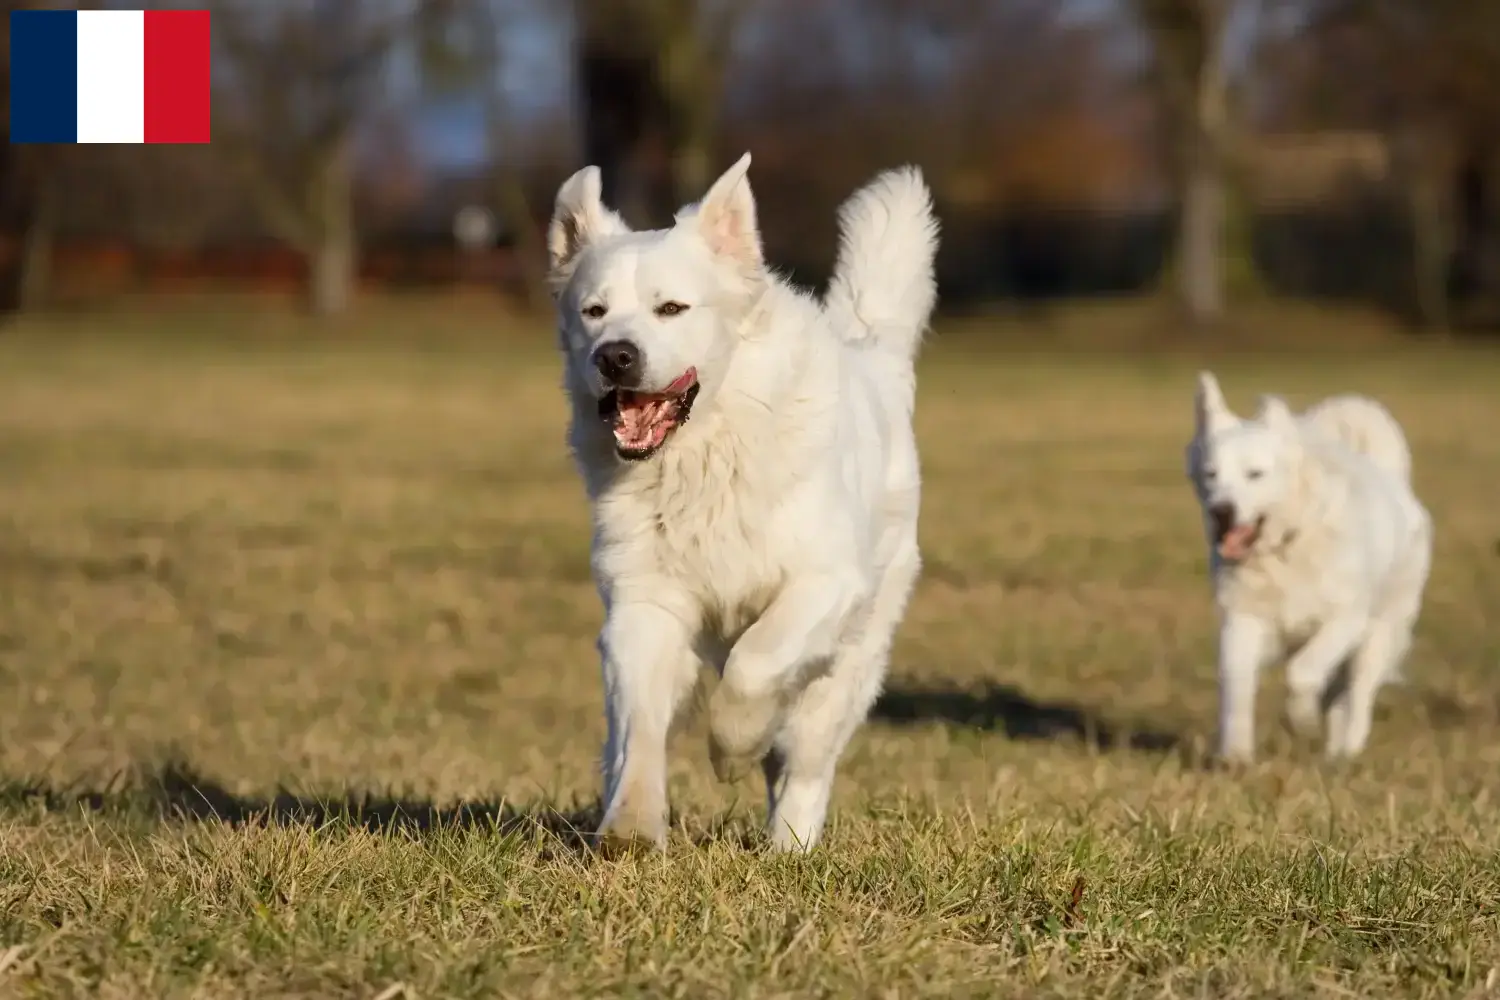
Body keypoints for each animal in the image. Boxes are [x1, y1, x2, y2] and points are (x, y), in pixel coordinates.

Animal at [540, 150, 936, 851]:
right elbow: (640, 728)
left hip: (850, 664)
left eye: (672, 308)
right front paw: (631, 827)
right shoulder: (645, 603)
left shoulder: (824, 582)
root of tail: (874, 358)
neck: (704, 456)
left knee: (804, 764)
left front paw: (732, 749)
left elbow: (755, 666)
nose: (615, 357)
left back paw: (789, 849)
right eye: (594, 311)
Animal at [1182, 371, 1428, 761]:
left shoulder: (1346, 620)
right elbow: (1235, 686)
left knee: (1358, 696)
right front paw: (1236, 754)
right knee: (1340, 698)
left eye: (1255, 474)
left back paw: (1346, 752)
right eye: (1211, 474)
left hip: (1377, 636)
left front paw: (1302, 719)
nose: (1221, 511)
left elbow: (1302, 673)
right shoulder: (1242, 621)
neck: (1286, 547)